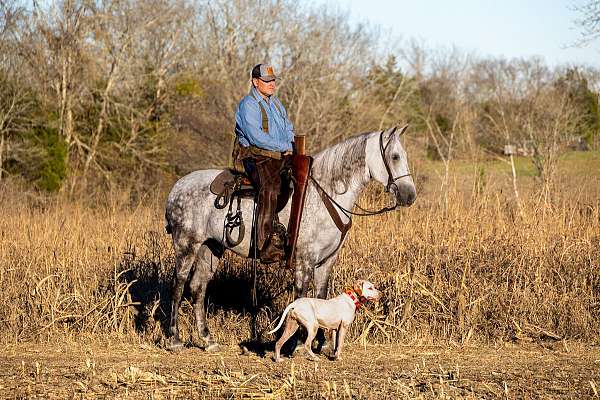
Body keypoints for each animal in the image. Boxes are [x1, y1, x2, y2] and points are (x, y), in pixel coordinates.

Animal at [164, 125, 418, 350]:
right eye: (395, 156)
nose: (410, 195)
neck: (326, 194)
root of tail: (177, 187)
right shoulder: (305, 259)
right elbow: (301, 295)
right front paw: (295, 343)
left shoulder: (326, 261)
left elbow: (320, 295)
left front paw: (321, 343)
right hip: (186, 244)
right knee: (179, 284)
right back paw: (174, 339)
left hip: (211, 247)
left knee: (198, 287)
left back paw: (207, 340)